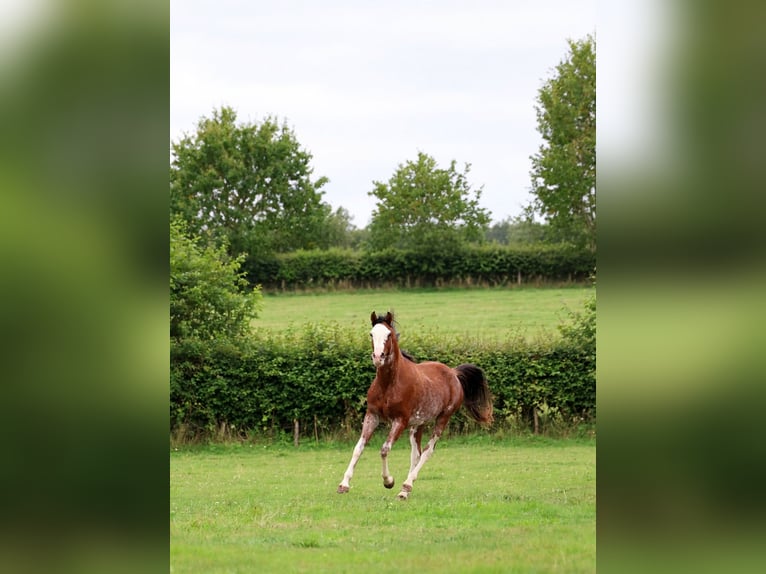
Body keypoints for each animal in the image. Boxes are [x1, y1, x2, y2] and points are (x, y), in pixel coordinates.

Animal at [337, 311, 493, 499]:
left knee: (427, 450)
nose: (378, 357)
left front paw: (388, 481)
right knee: (416, 453)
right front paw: (344, 485)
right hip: (418, 423)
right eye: (371, 334)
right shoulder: (372, 416)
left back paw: (406, 486)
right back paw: (405, 490)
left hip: (443, 418)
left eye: (388, 335)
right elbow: (358, 448)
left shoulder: (400, 421)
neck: (388, 384)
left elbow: (384, 449)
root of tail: (454, 373)